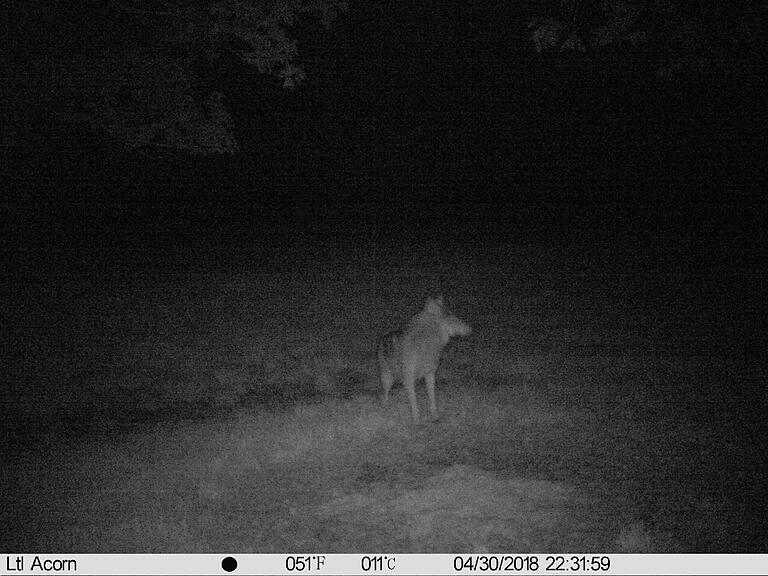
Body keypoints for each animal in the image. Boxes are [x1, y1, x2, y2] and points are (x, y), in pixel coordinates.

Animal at [376, 296, 472, 424]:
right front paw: (416, 420)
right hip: (387, 378)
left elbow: (432, 398)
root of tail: (384, 336)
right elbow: (414, 401)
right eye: (451, 317)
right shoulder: (409, 378)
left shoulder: (430, 374)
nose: (470, 329)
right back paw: (384, 407)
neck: (427, 342)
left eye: (454, 316)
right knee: (385, 394)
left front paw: (435, 416)